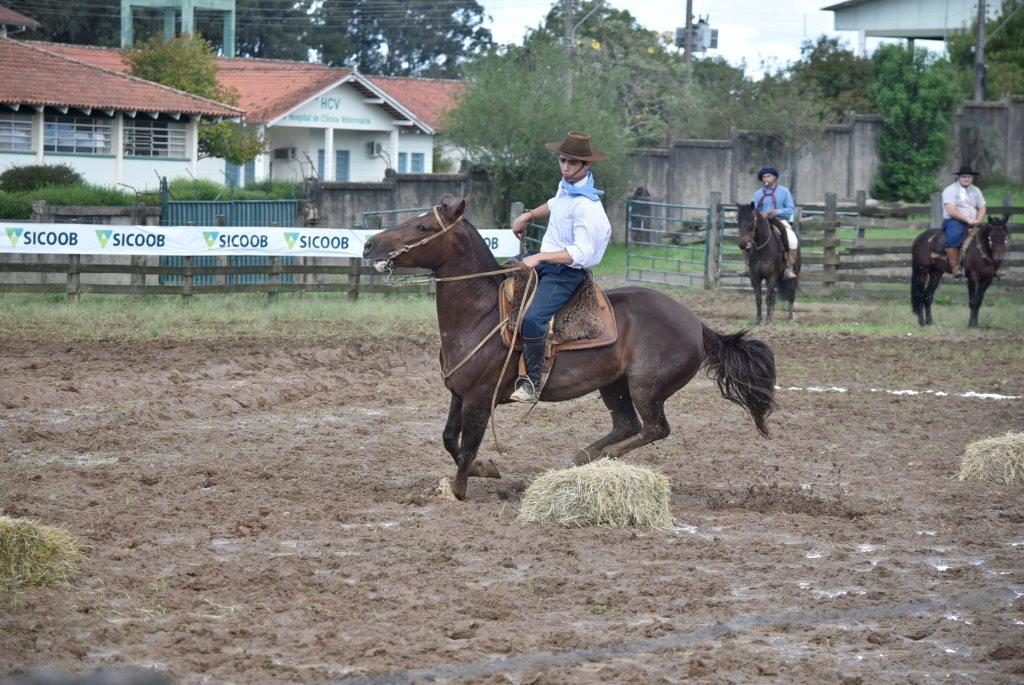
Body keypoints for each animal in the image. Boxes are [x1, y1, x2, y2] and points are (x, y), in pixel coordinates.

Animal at [360, 194, 774, 499]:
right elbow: (449, 439)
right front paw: (486, 469)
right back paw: (582, 457)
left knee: (655, 428)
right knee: (627, 424)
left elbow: (466, 447)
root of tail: (698, 325)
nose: (368, 244)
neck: (482, 313)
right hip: (614, 386)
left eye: (423, 226)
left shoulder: (479, 398)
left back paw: (604, 457)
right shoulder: (458, 393)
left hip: (646, 388)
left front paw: (458, 490)